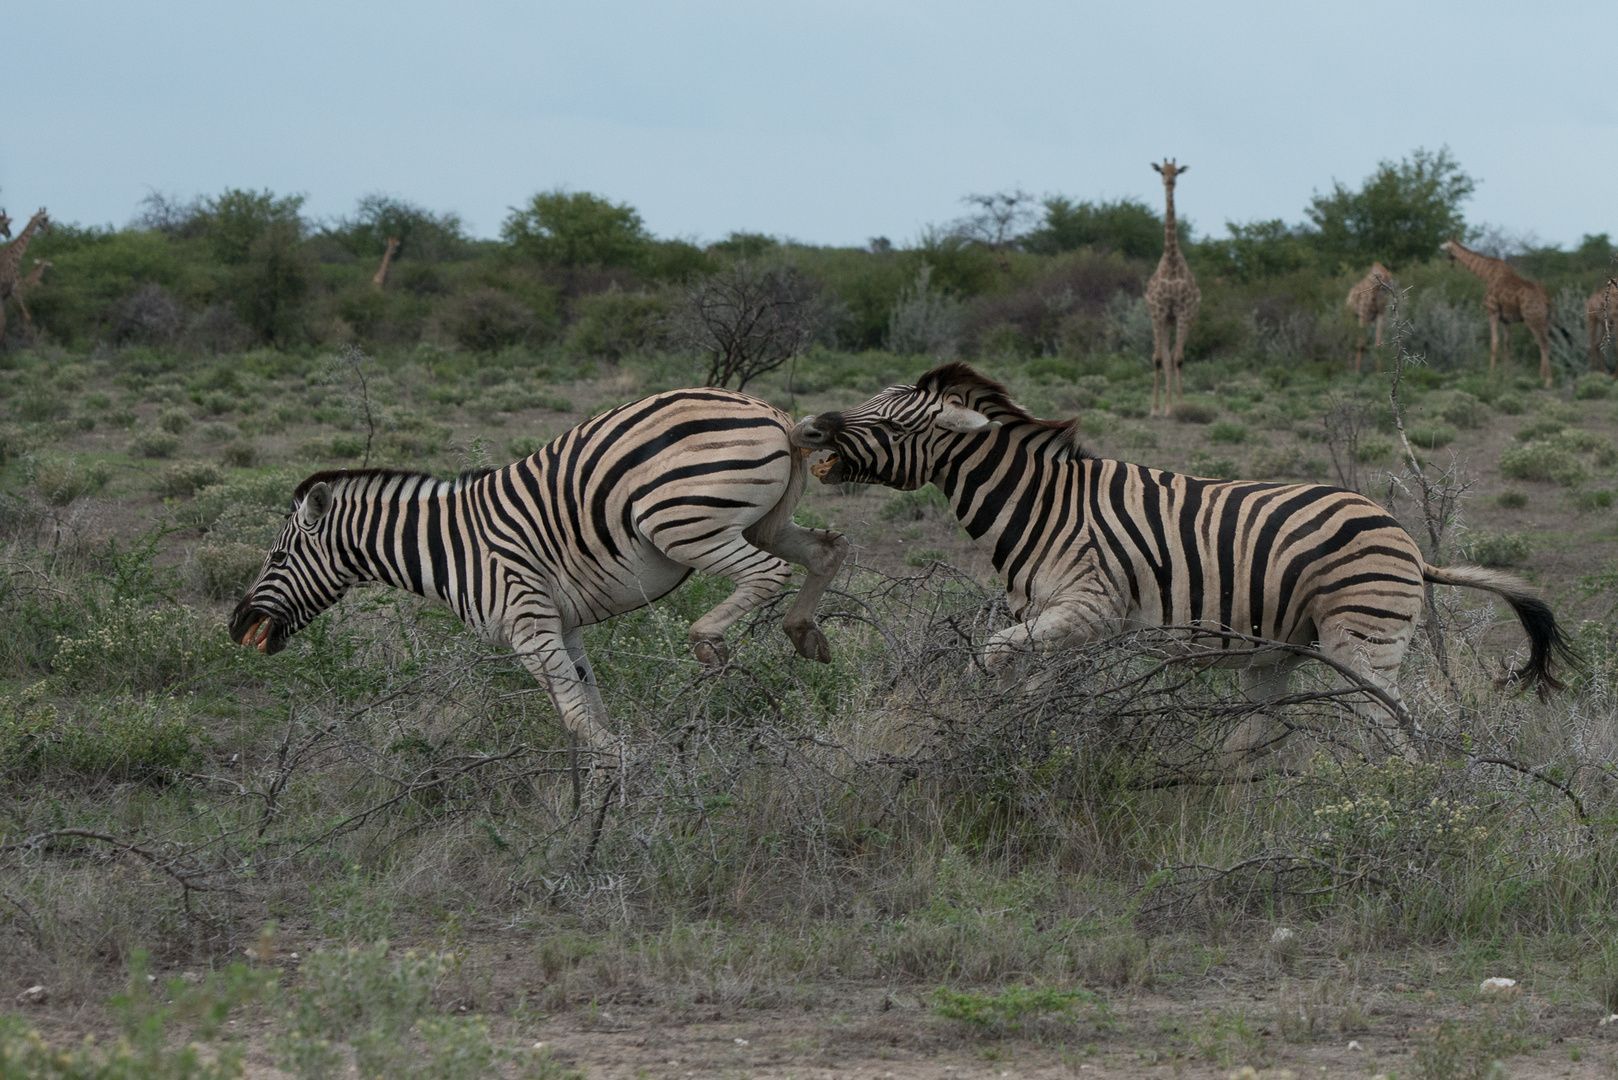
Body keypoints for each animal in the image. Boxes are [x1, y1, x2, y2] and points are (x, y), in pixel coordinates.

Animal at [0, 208, 50, 344]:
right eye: (45, 219)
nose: (49, 231)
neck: (17, 255)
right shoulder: (15, 290)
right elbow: (27, 316)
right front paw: (26, 341)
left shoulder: (5, 295)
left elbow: (3, 321)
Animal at [236, 383, 860, 748]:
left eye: (277, 556)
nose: (235, 624)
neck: (453, 546)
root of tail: (770, 411)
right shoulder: (561, 623)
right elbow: (591, 705)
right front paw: (625, 764)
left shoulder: (526, 624)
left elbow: (578, 720)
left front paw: (612, 793)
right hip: (761, 521)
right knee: (827, 549)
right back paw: (805, 634)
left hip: (682, 521)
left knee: (766, 574)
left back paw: (709, 640)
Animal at [789, 362, 1572, 751]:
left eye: (895, 423)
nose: (806, 430)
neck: (1042, 506)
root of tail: (1407, 538)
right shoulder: (1057, 624)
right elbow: (1035, 683)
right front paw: (1032, 743)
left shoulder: (1088, 608)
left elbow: (991, 659)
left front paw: (987, 737)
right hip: (1277, 652)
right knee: (1260, 736)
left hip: (1362, 641)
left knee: (1394, 723)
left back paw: (1393, 802)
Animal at [1443, 238, 1553, 386]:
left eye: (1447, 249)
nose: (1450, 262)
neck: (1485, 273)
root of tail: (1547, 299)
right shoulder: (1507, 319)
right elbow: (1507, 345)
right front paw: (1506, 376)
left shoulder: (1492, 310)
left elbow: (1494, 342)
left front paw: (1491, 376)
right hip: (1545, 320)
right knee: (1543, 344)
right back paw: (1541, 378)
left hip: (1534, 318)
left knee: (1544, 343)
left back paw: (1548, 381)